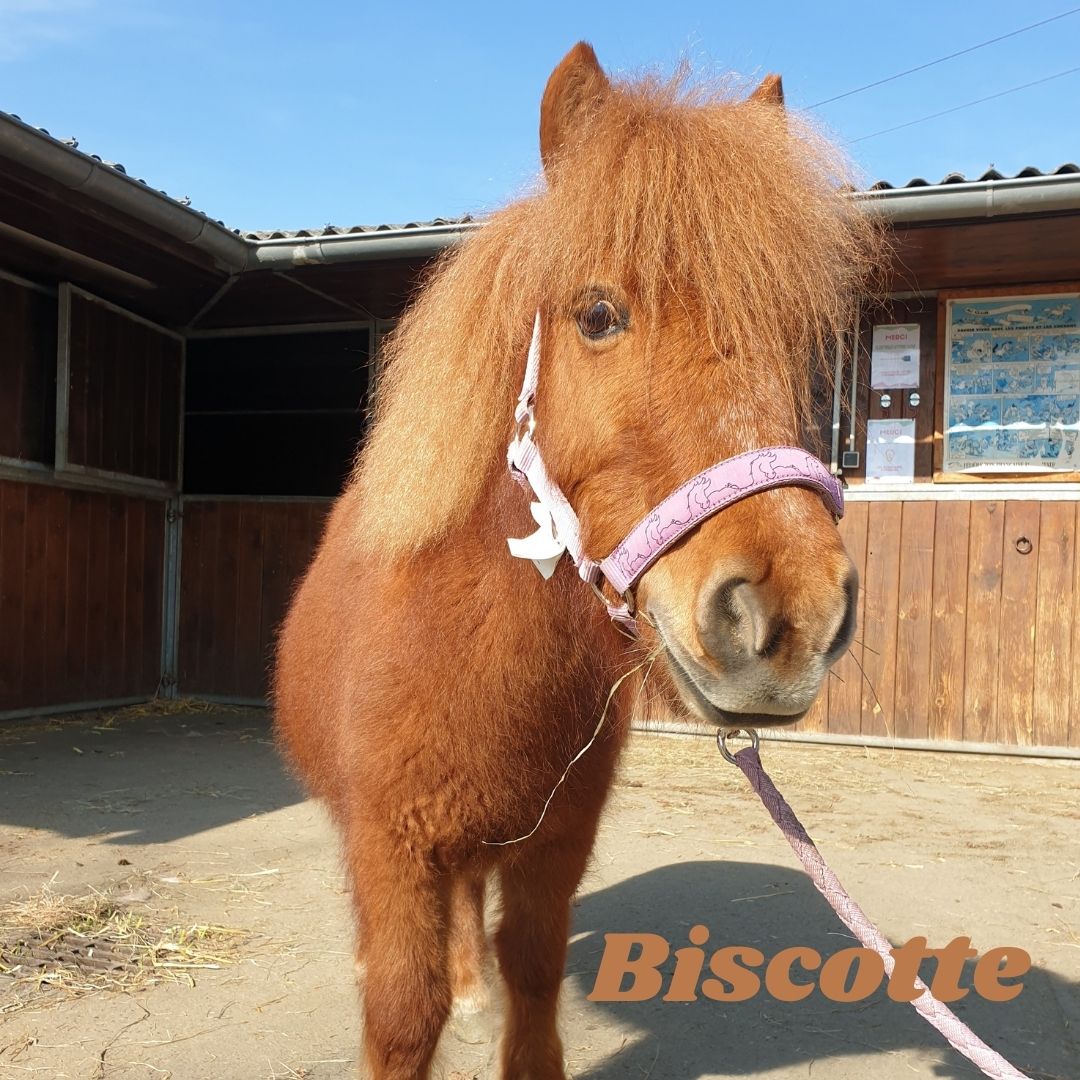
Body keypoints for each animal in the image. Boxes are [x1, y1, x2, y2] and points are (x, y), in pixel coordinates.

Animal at [276, 39, 876, 1080]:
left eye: (803, 340)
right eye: (597, 315)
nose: (788, 618)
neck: (468, 656)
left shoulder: (553, 844)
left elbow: (532, 968)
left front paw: (493, 1001)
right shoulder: (394, 855)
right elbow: (401, 1011)